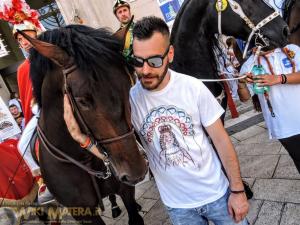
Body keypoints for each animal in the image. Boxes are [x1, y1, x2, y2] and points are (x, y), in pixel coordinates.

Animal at [21, 25, 148, 224]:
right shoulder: (83, 213)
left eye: (128, 86)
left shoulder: (126, 190)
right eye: (82, 101)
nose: (136, 171)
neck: (84, 158)